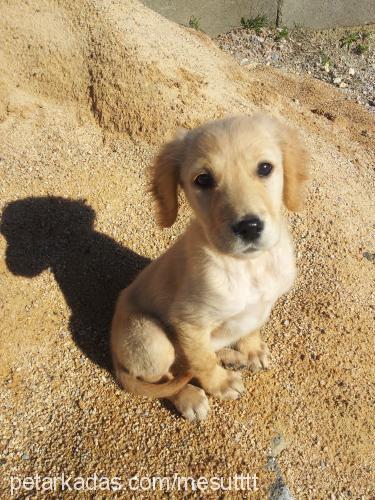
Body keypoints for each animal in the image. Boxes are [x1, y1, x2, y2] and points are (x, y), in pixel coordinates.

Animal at [110, 112, 310, 418]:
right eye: (203, 180)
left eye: (265, 168)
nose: (249, 227)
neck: (249, 267)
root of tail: (112, 354)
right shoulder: (189, 321)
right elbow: (202, 360)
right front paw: (220, 384)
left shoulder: (263, 305)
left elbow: (251, 328)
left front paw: (252, 351)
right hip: (152, 340)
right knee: (166, 378)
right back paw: (189, 396)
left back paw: (231, 356)